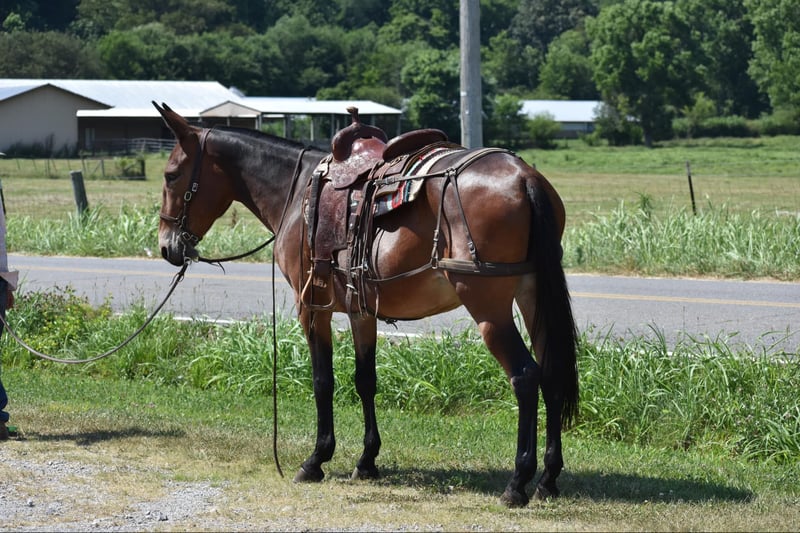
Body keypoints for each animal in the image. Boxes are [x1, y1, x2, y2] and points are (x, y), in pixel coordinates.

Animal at [153, 102, 578, 507]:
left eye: (171, 175)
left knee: (525, 376)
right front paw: (367, 460)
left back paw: (518, 482)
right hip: (532, 296)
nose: (167, 247)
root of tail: (524, 177)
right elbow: (365, 380)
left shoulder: (312, 307)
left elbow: (323, 381)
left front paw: (316, 460)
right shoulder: (362, 312)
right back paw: (547, 479)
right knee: (552, 373)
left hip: (488, 307)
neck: (296, 190)